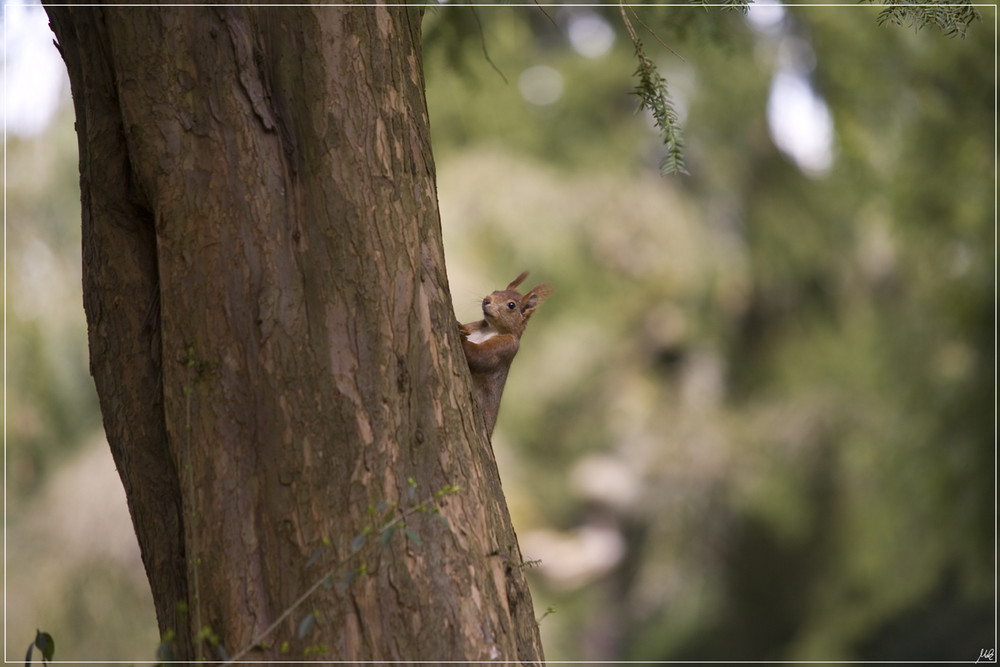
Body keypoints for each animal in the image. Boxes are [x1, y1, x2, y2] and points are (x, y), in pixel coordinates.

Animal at [458, 272, 552, 438]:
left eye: (511, 305)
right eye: (496, 291)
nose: (487, 299)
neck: (491, 328)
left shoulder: (505, 348)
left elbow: (480, 357)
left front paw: (462, 339)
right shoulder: (474, 326)